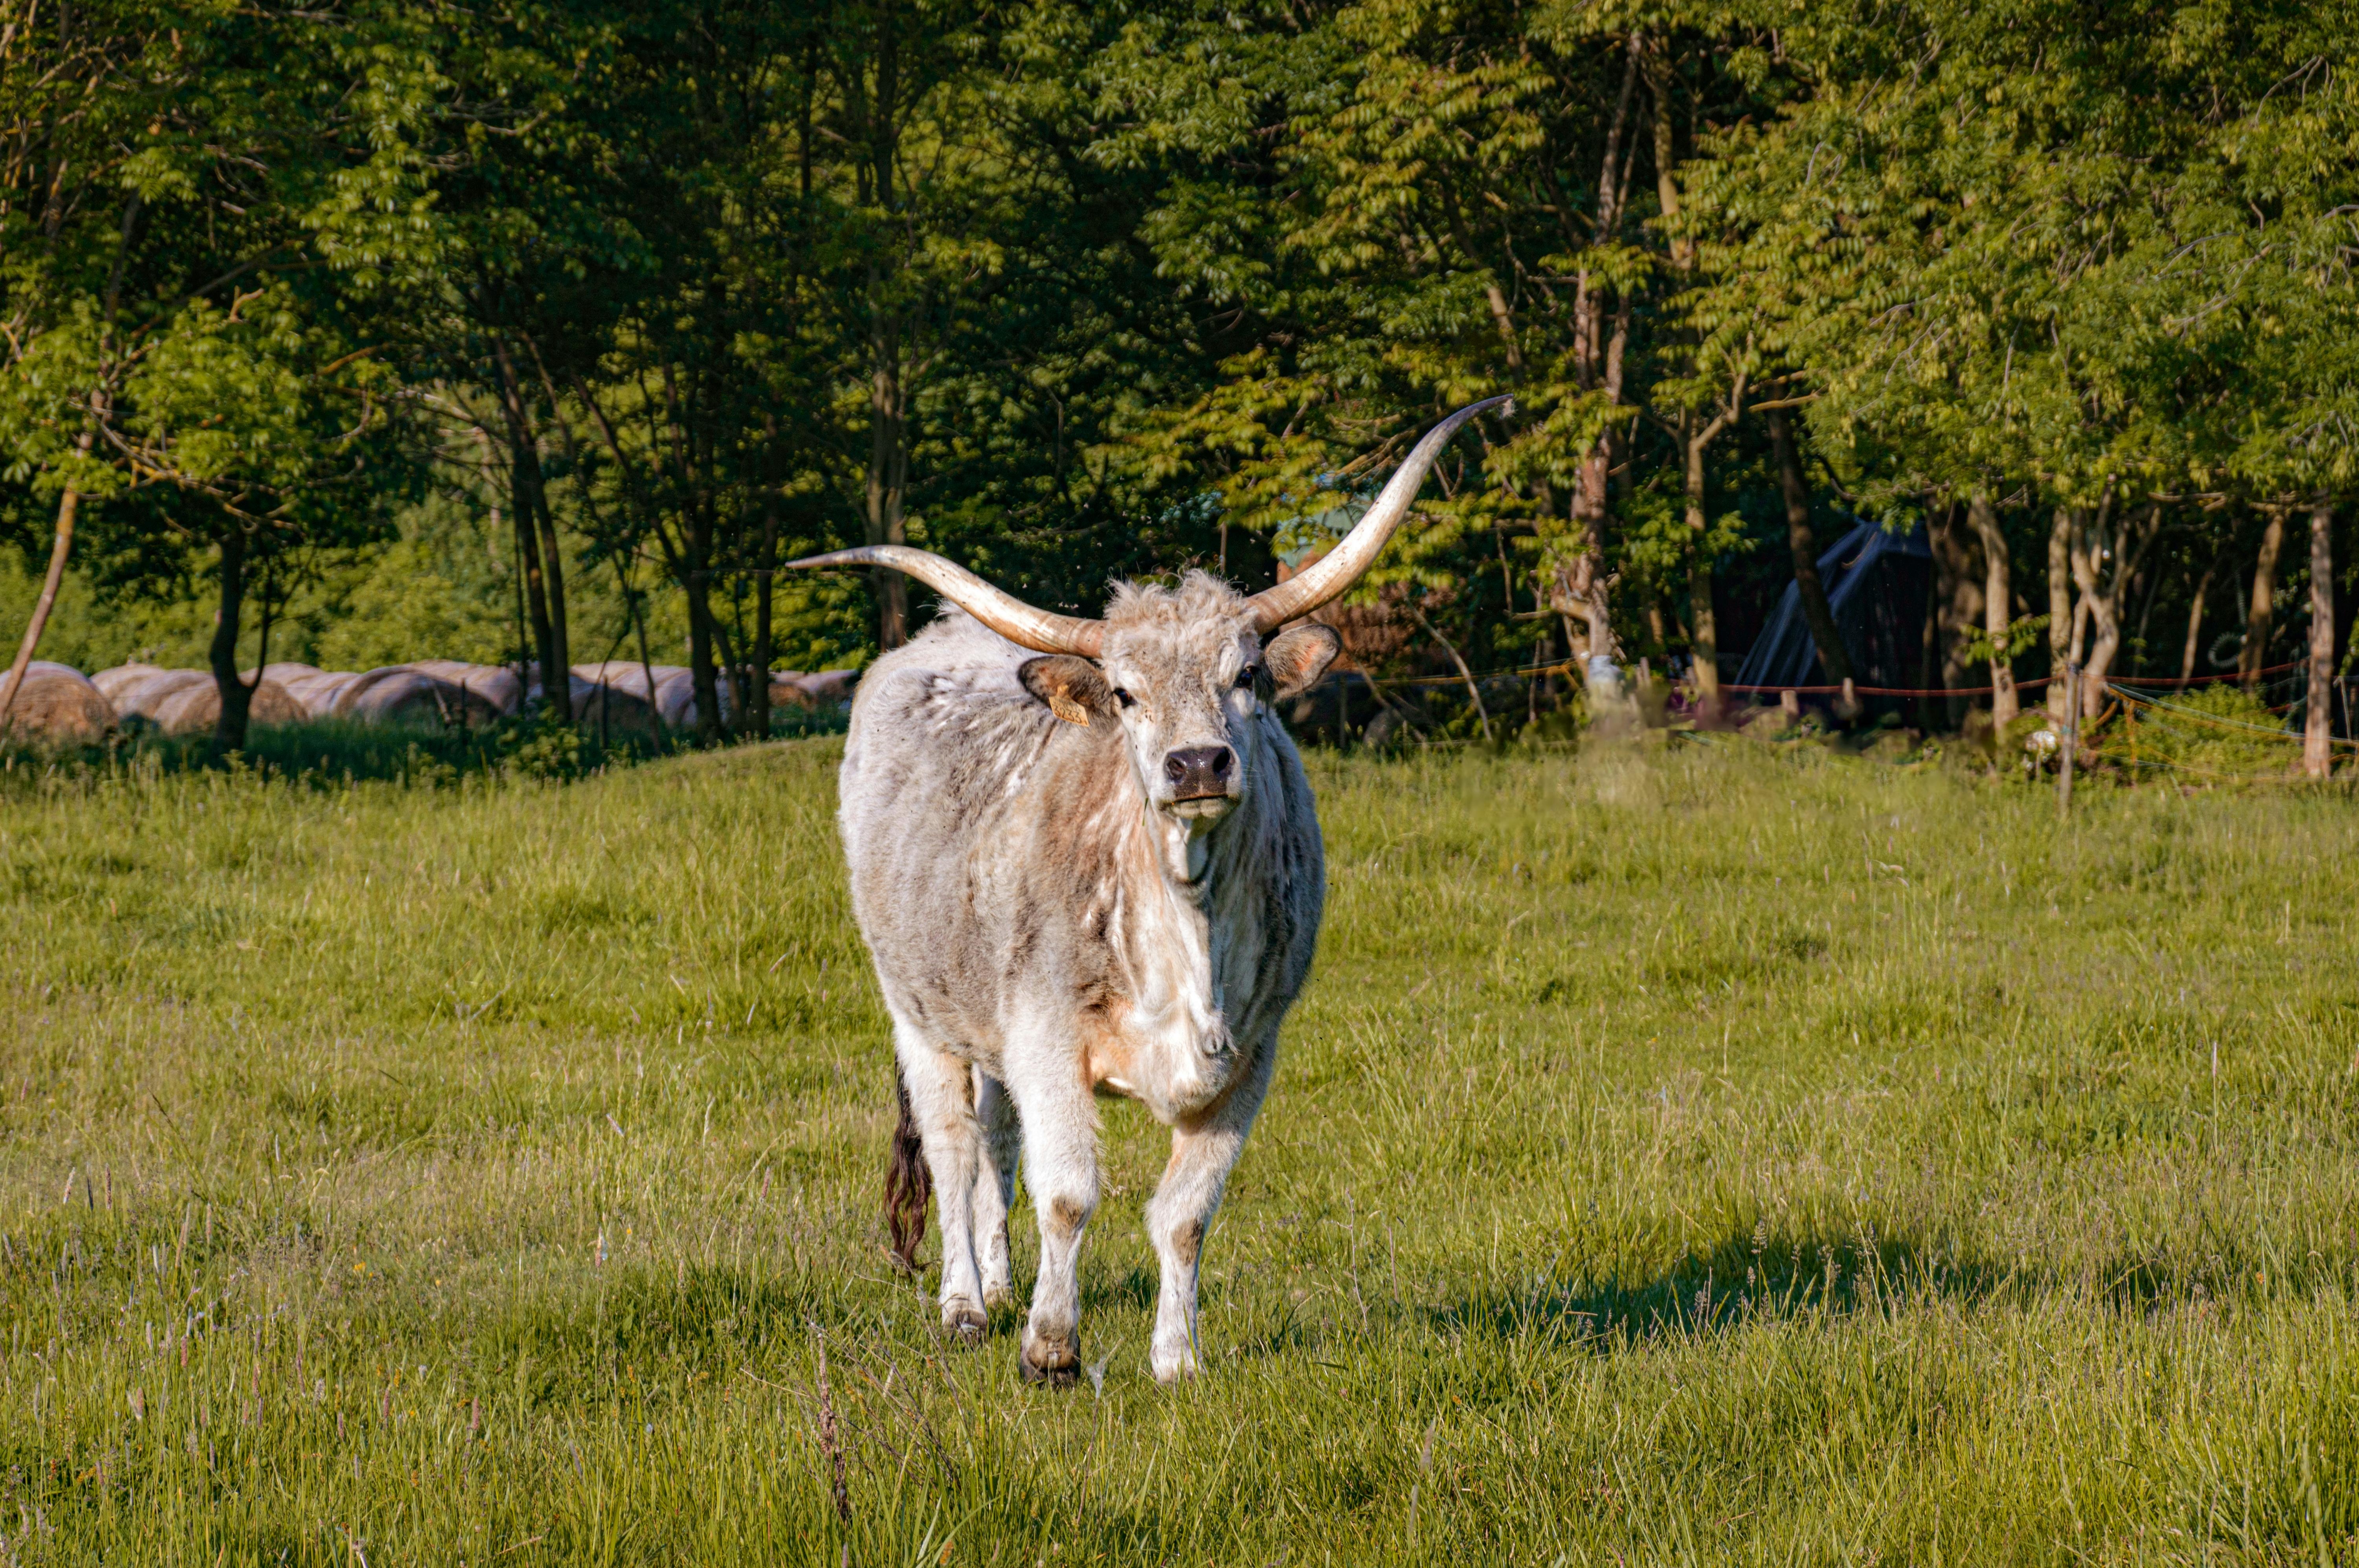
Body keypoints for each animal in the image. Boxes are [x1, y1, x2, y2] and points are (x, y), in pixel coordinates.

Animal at [787, 396, 1504, 1385]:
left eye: (1247, 675)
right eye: (1124, 694)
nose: (1196, 763)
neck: (1187, 933)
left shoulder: (1251, 1054)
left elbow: (1183, 1213)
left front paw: (1176, 1358)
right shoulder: (1047, 1033)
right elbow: (1067, 1194)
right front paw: (1050, 1347)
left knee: (996, 1143)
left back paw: (1000, 1284)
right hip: (916, 1009)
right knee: (955, 1147)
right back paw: (967, 1305)